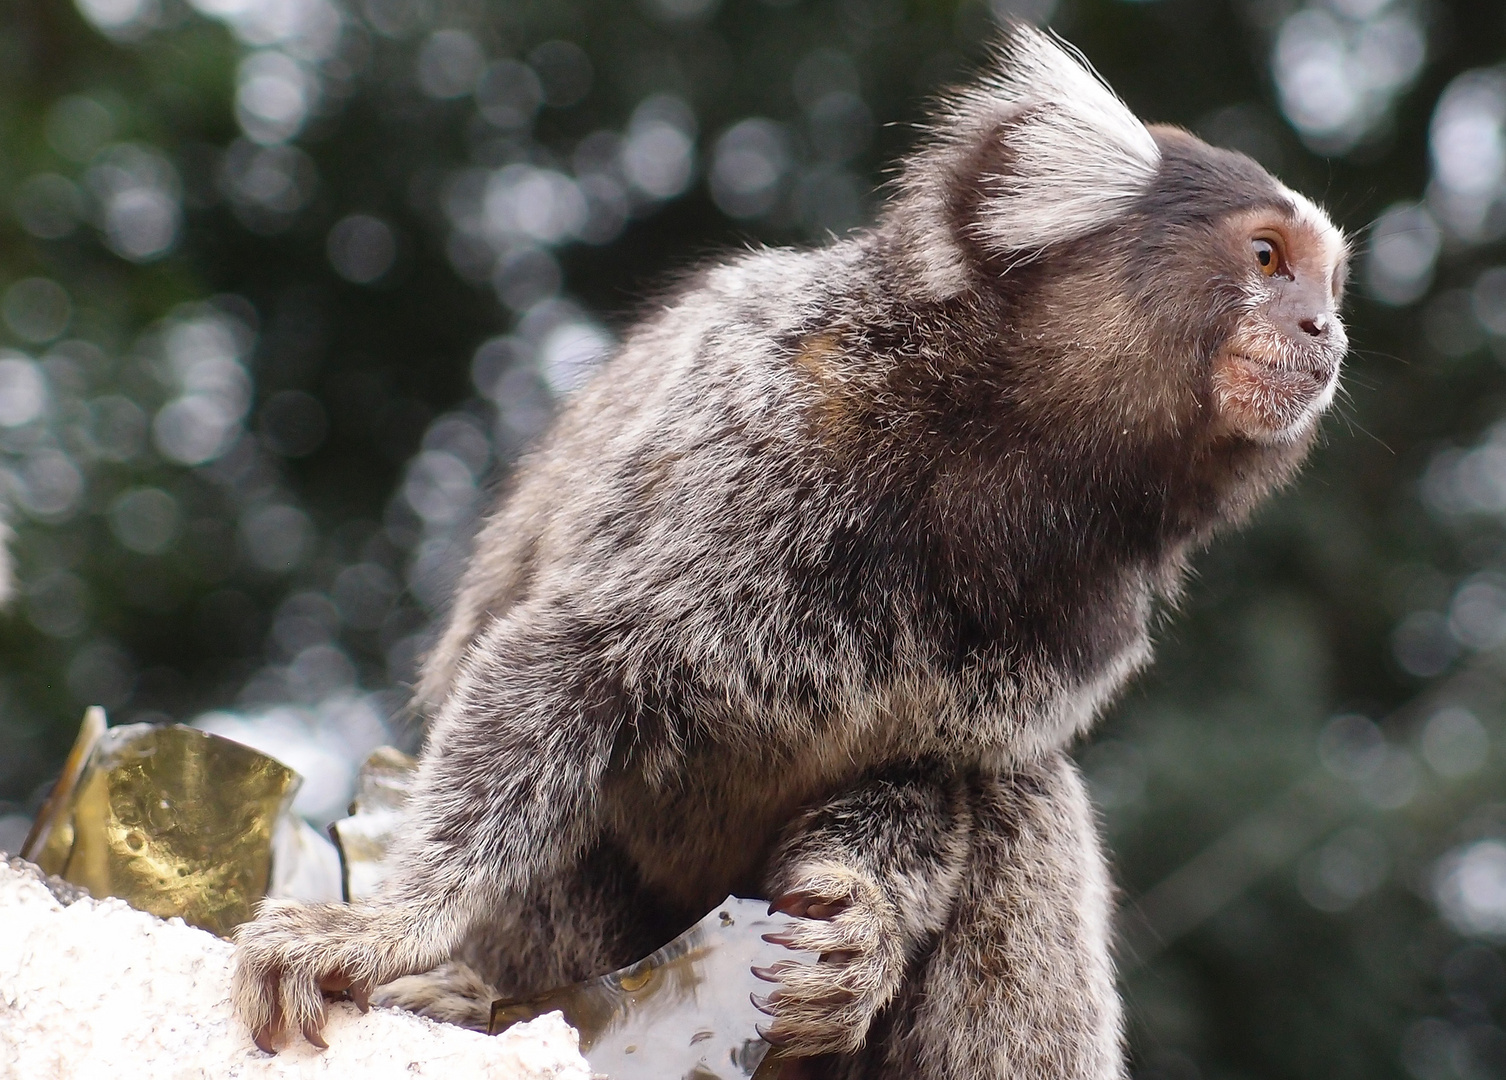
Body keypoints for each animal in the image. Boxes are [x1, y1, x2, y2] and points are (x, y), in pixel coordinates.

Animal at [234, 27, 1355, 1078]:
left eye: (1327, 283)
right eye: (1266, 258)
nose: (1324, 330)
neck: (998, 445)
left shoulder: (1089, 618)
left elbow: (932, 779)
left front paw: (858, 926)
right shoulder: (754, 428)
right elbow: (560, 667)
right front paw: (388, 930)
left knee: (1020, 801)